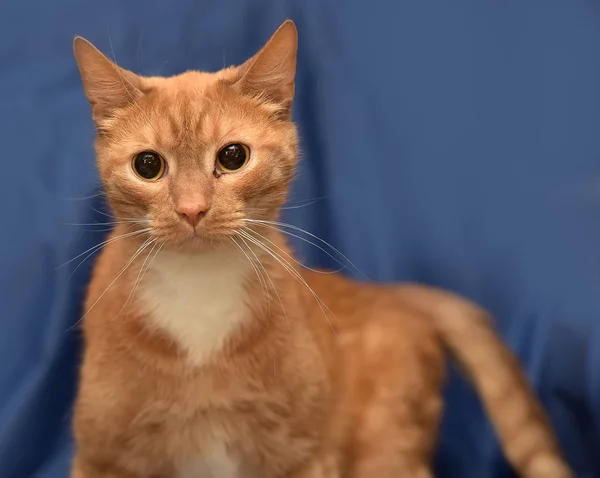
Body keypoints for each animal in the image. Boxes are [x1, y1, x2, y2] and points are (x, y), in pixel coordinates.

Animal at [72, 19, 576, 478]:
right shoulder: (101, 461)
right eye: (148, 165)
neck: (199, 295)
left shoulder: (305, 456)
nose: (192, 209)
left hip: (386, 452)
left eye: (233, 157)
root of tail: (393, 291)